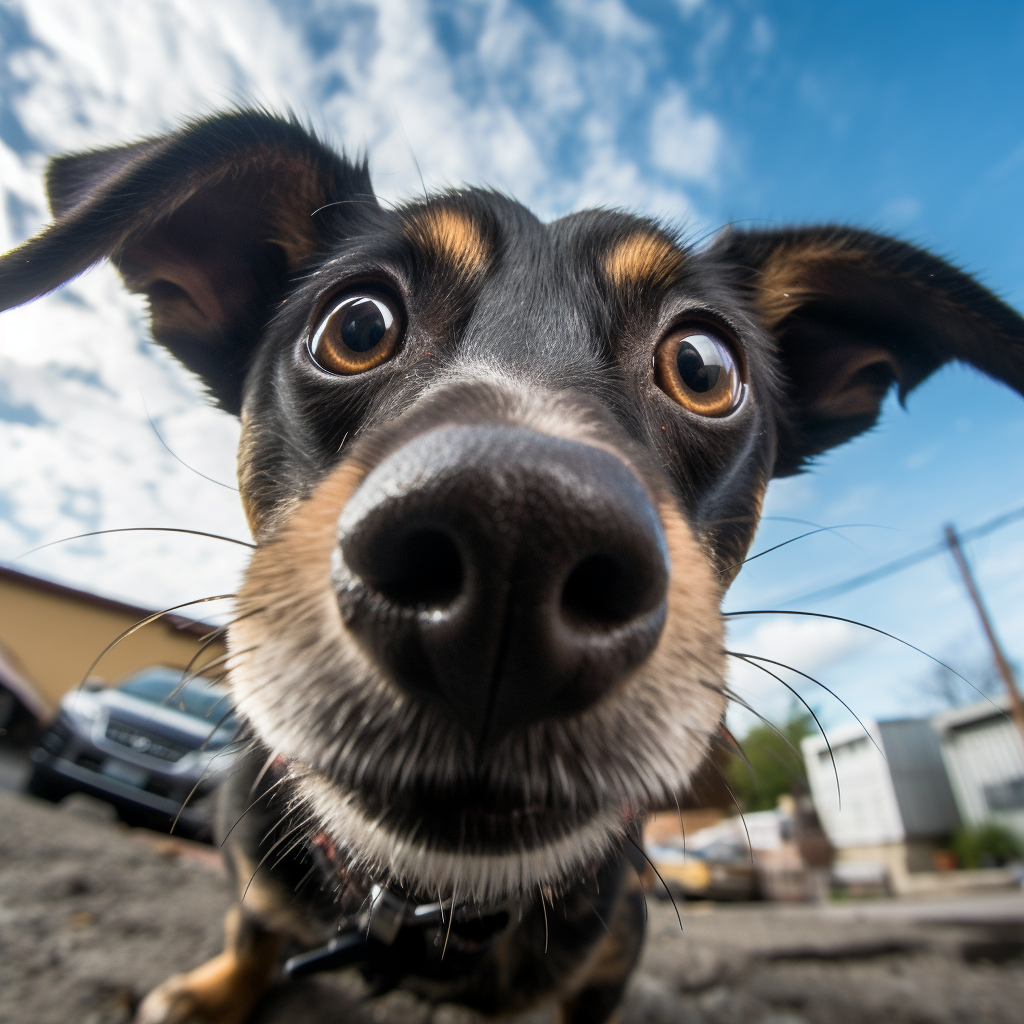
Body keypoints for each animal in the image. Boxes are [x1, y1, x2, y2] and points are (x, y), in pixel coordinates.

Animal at [2, 108, 1024, 1019]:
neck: (421, 905)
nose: (517, 539)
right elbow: (252, 922)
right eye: (356, 324)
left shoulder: (609, 942)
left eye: (702, 365)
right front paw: (216, 989)